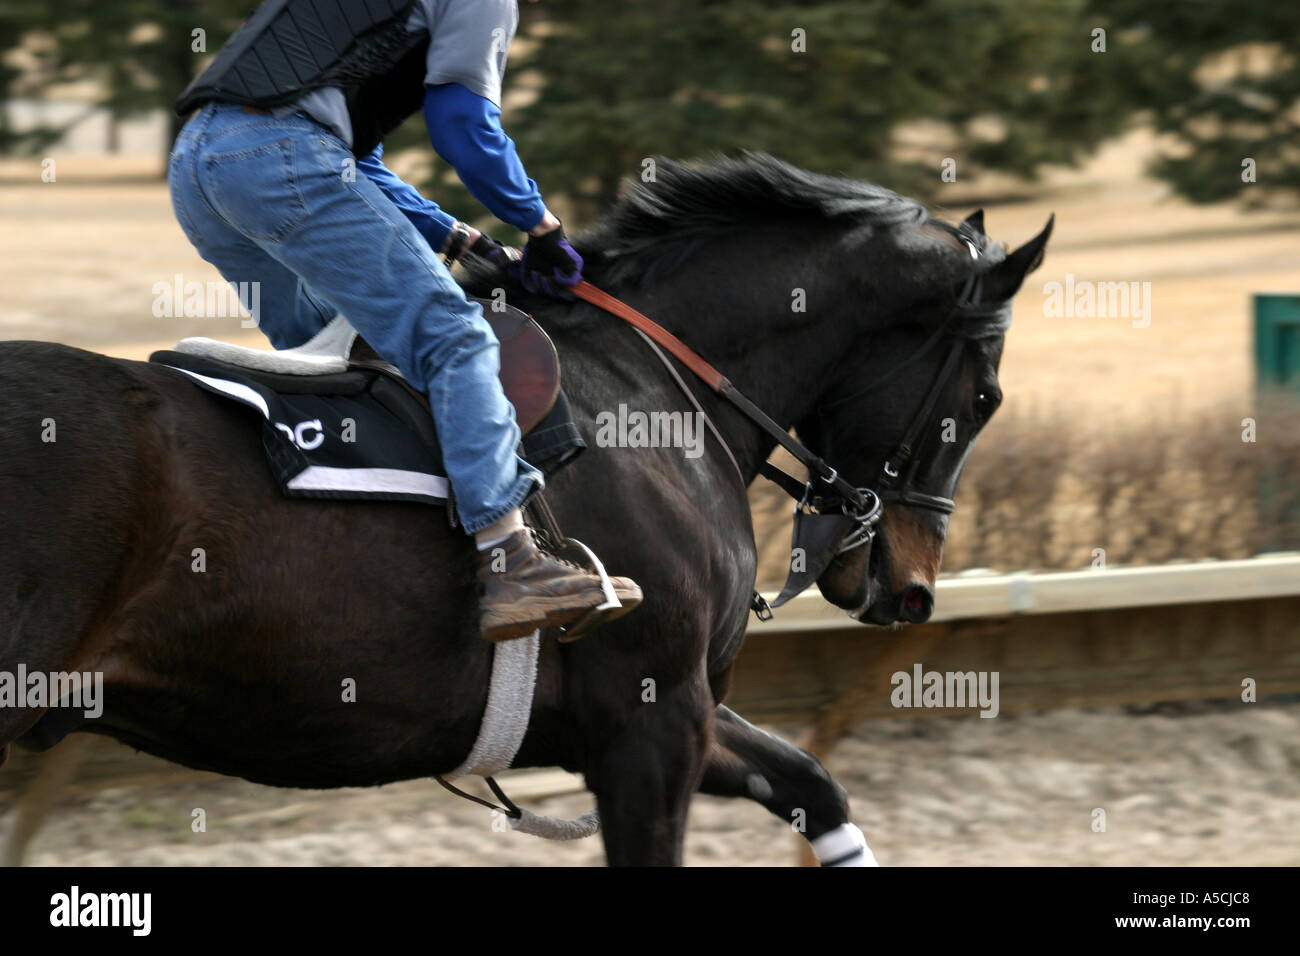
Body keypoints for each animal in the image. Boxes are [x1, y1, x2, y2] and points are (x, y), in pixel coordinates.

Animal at [0, 153, 1051, 865]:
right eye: (986, 397)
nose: (910, 588)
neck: (651, 392)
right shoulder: (651, 720)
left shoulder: (668, 715)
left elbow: (813, 783)